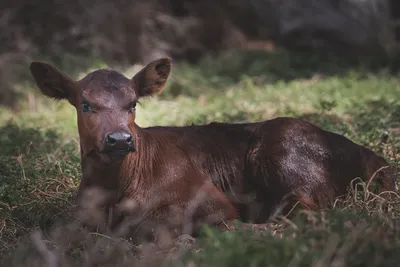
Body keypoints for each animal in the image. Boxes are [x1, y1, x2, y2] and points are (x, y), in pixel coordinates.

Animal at [29, 57, 396, 238]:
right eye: (85, 104)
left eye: (132, 103)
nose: (120, 139)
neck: (116, 191)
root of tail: (372, 157)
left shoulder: (208, 199)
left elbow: (152, 224)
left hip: (281, 148)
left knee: (304, 212)